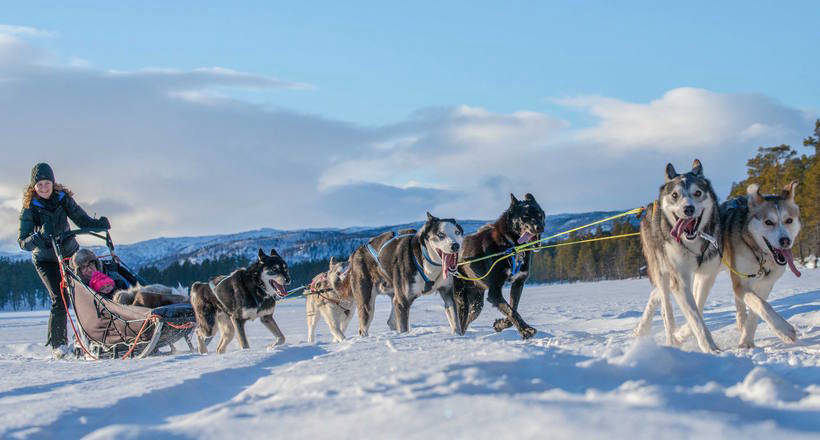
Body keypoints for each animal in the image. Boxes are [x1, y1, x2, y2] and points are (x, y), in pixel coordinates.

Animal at [454, 193, 544, 340]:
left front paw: (500, 324)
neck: (511, 246)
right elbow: (511, 311)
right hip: (462, 300)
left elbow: (513, 309)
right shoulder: (494, 291)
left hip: (476, 304)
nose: (539, 227)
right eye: (525, 216)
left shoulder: (518, 283)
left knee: (469, 318)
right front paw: (526, 330)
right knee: (461, 321)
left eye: (540, 214)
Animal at [724, 182, 800, 348]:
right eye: (768, 222)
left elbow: (757, 309)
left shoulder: (764, 285)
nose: (785, 241)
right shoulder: (741, 283)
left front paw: (746, 341)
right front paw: (785, 331)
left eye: (789, 220)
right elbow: (762, 305)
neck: (761, 256)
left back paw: (741, 322)